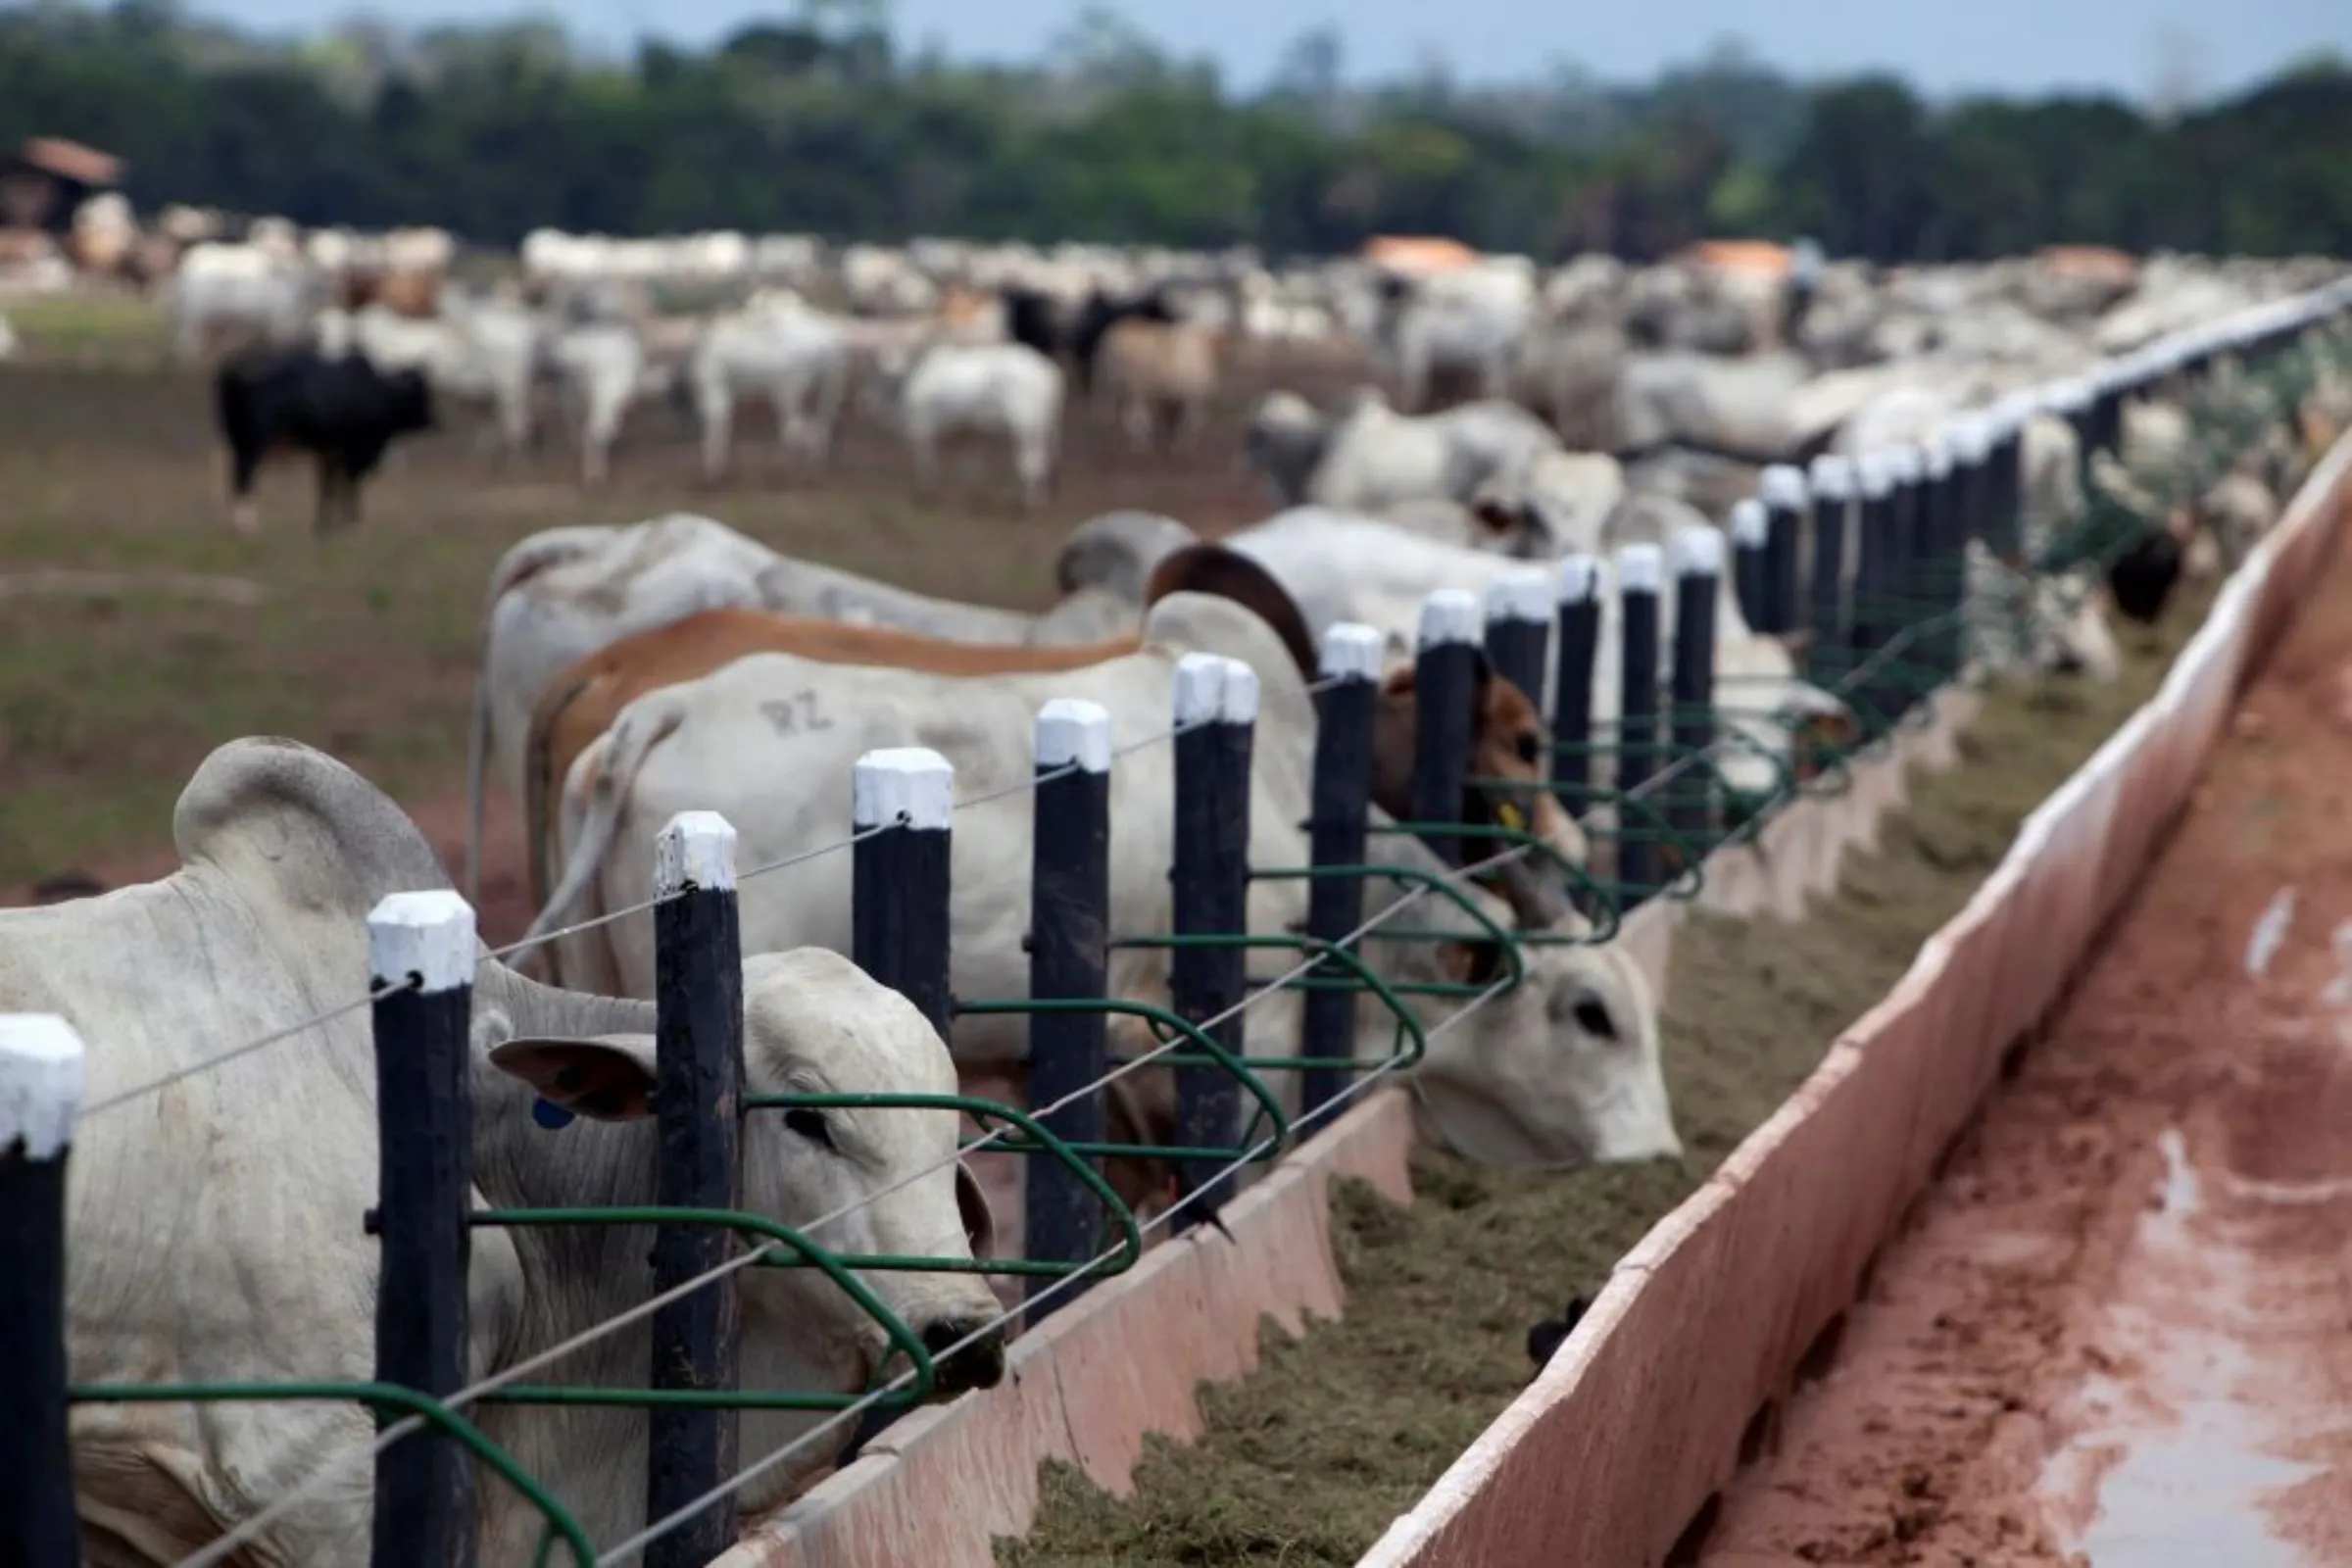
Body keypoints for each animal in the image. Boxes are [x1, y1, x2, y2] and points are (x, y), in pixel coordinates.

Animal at [214, 343, 435, 540]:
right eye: (421, 394)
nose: (433, 421)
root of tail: (234, 367)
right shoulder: (352, 453)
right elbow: (348, 488)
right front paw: (352, 527)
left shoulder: (330, 453)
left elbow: (329, 488)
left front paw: (325, 527)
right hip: (253, 444)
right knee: (244, 478)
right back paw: (247, 528)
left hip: (239, 442)